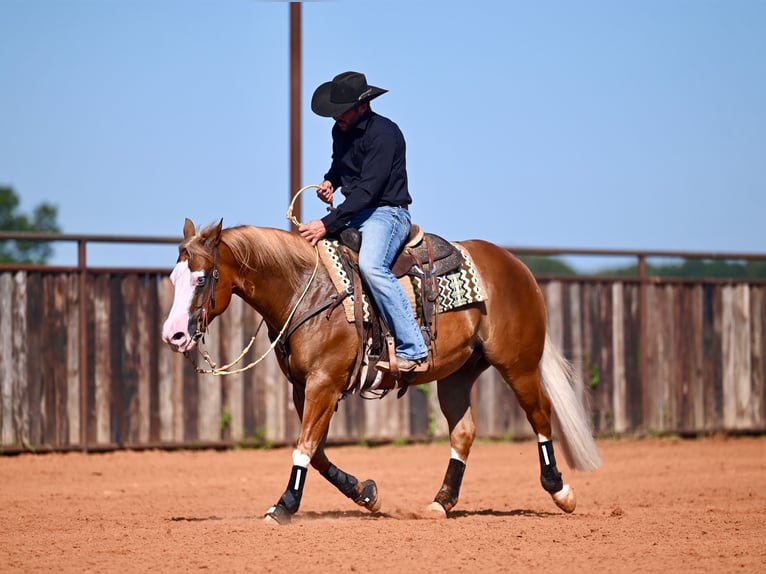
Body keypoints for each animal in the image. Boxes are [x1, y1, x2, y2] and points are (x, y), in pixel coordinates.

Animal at [161, 218, 601, 524]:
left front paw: (284, 506)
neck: (308, 290)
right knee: (464, 431)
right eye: (174, 277)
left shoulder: (323, 384)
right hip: (457, 374)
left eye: (203, 278)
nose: (173, 334)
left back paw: (561, 491)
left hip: (517, 363)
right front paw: (366, 494)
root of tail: (518, 268)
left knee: (540, 414)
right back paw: (441, 503)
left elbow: (304, 447)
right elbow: (317, 452)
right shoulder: (304, 388)